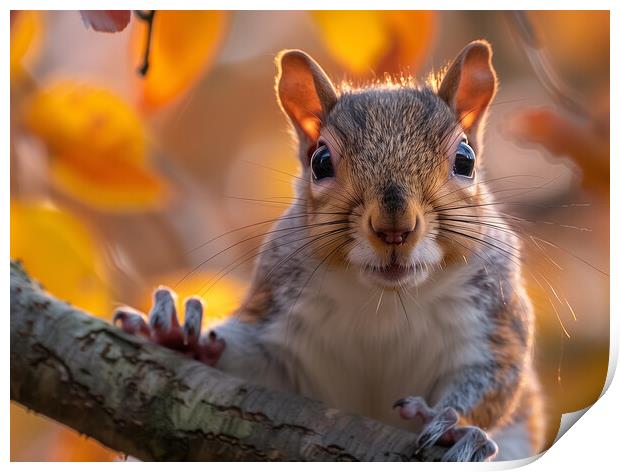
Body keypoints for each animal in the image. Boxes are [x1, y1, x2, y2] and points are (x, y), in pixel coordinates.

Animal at [115, 39, 544, 460]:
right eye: (320, 162)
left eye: (465, 160)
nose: (394, 227)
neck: (385, 301)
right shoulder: (277, 315)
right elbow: (249, 362)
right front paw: (177, 336)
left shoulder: (494, 320)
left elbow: (494, 380)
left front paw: (452, 423)